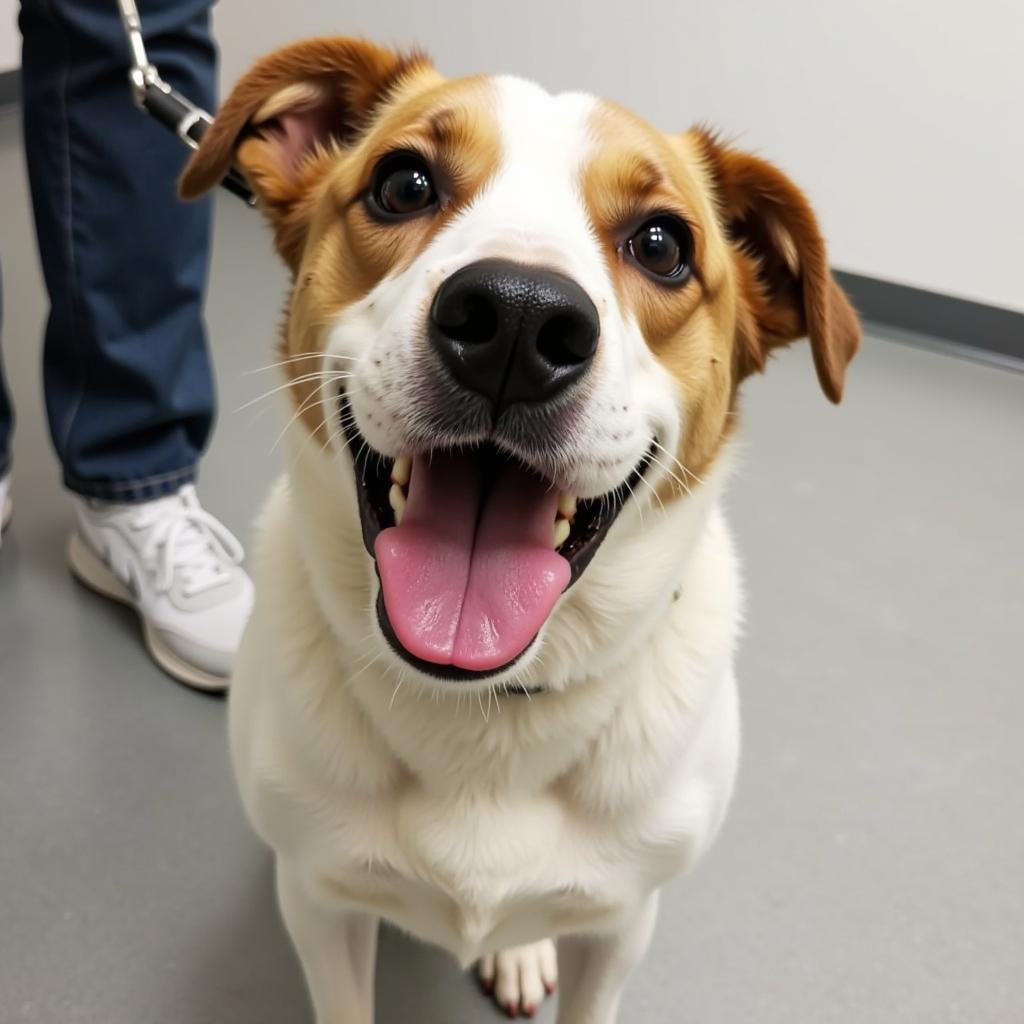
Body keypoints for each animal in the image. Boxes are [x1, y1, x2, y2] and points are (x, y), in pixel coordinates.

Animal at [182, 36, 856, 1024]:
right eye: (403, 184)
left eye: (663, 245)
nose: (516, 318)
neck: (483, 706)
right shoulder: (318, 899)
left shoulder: (623, 922)